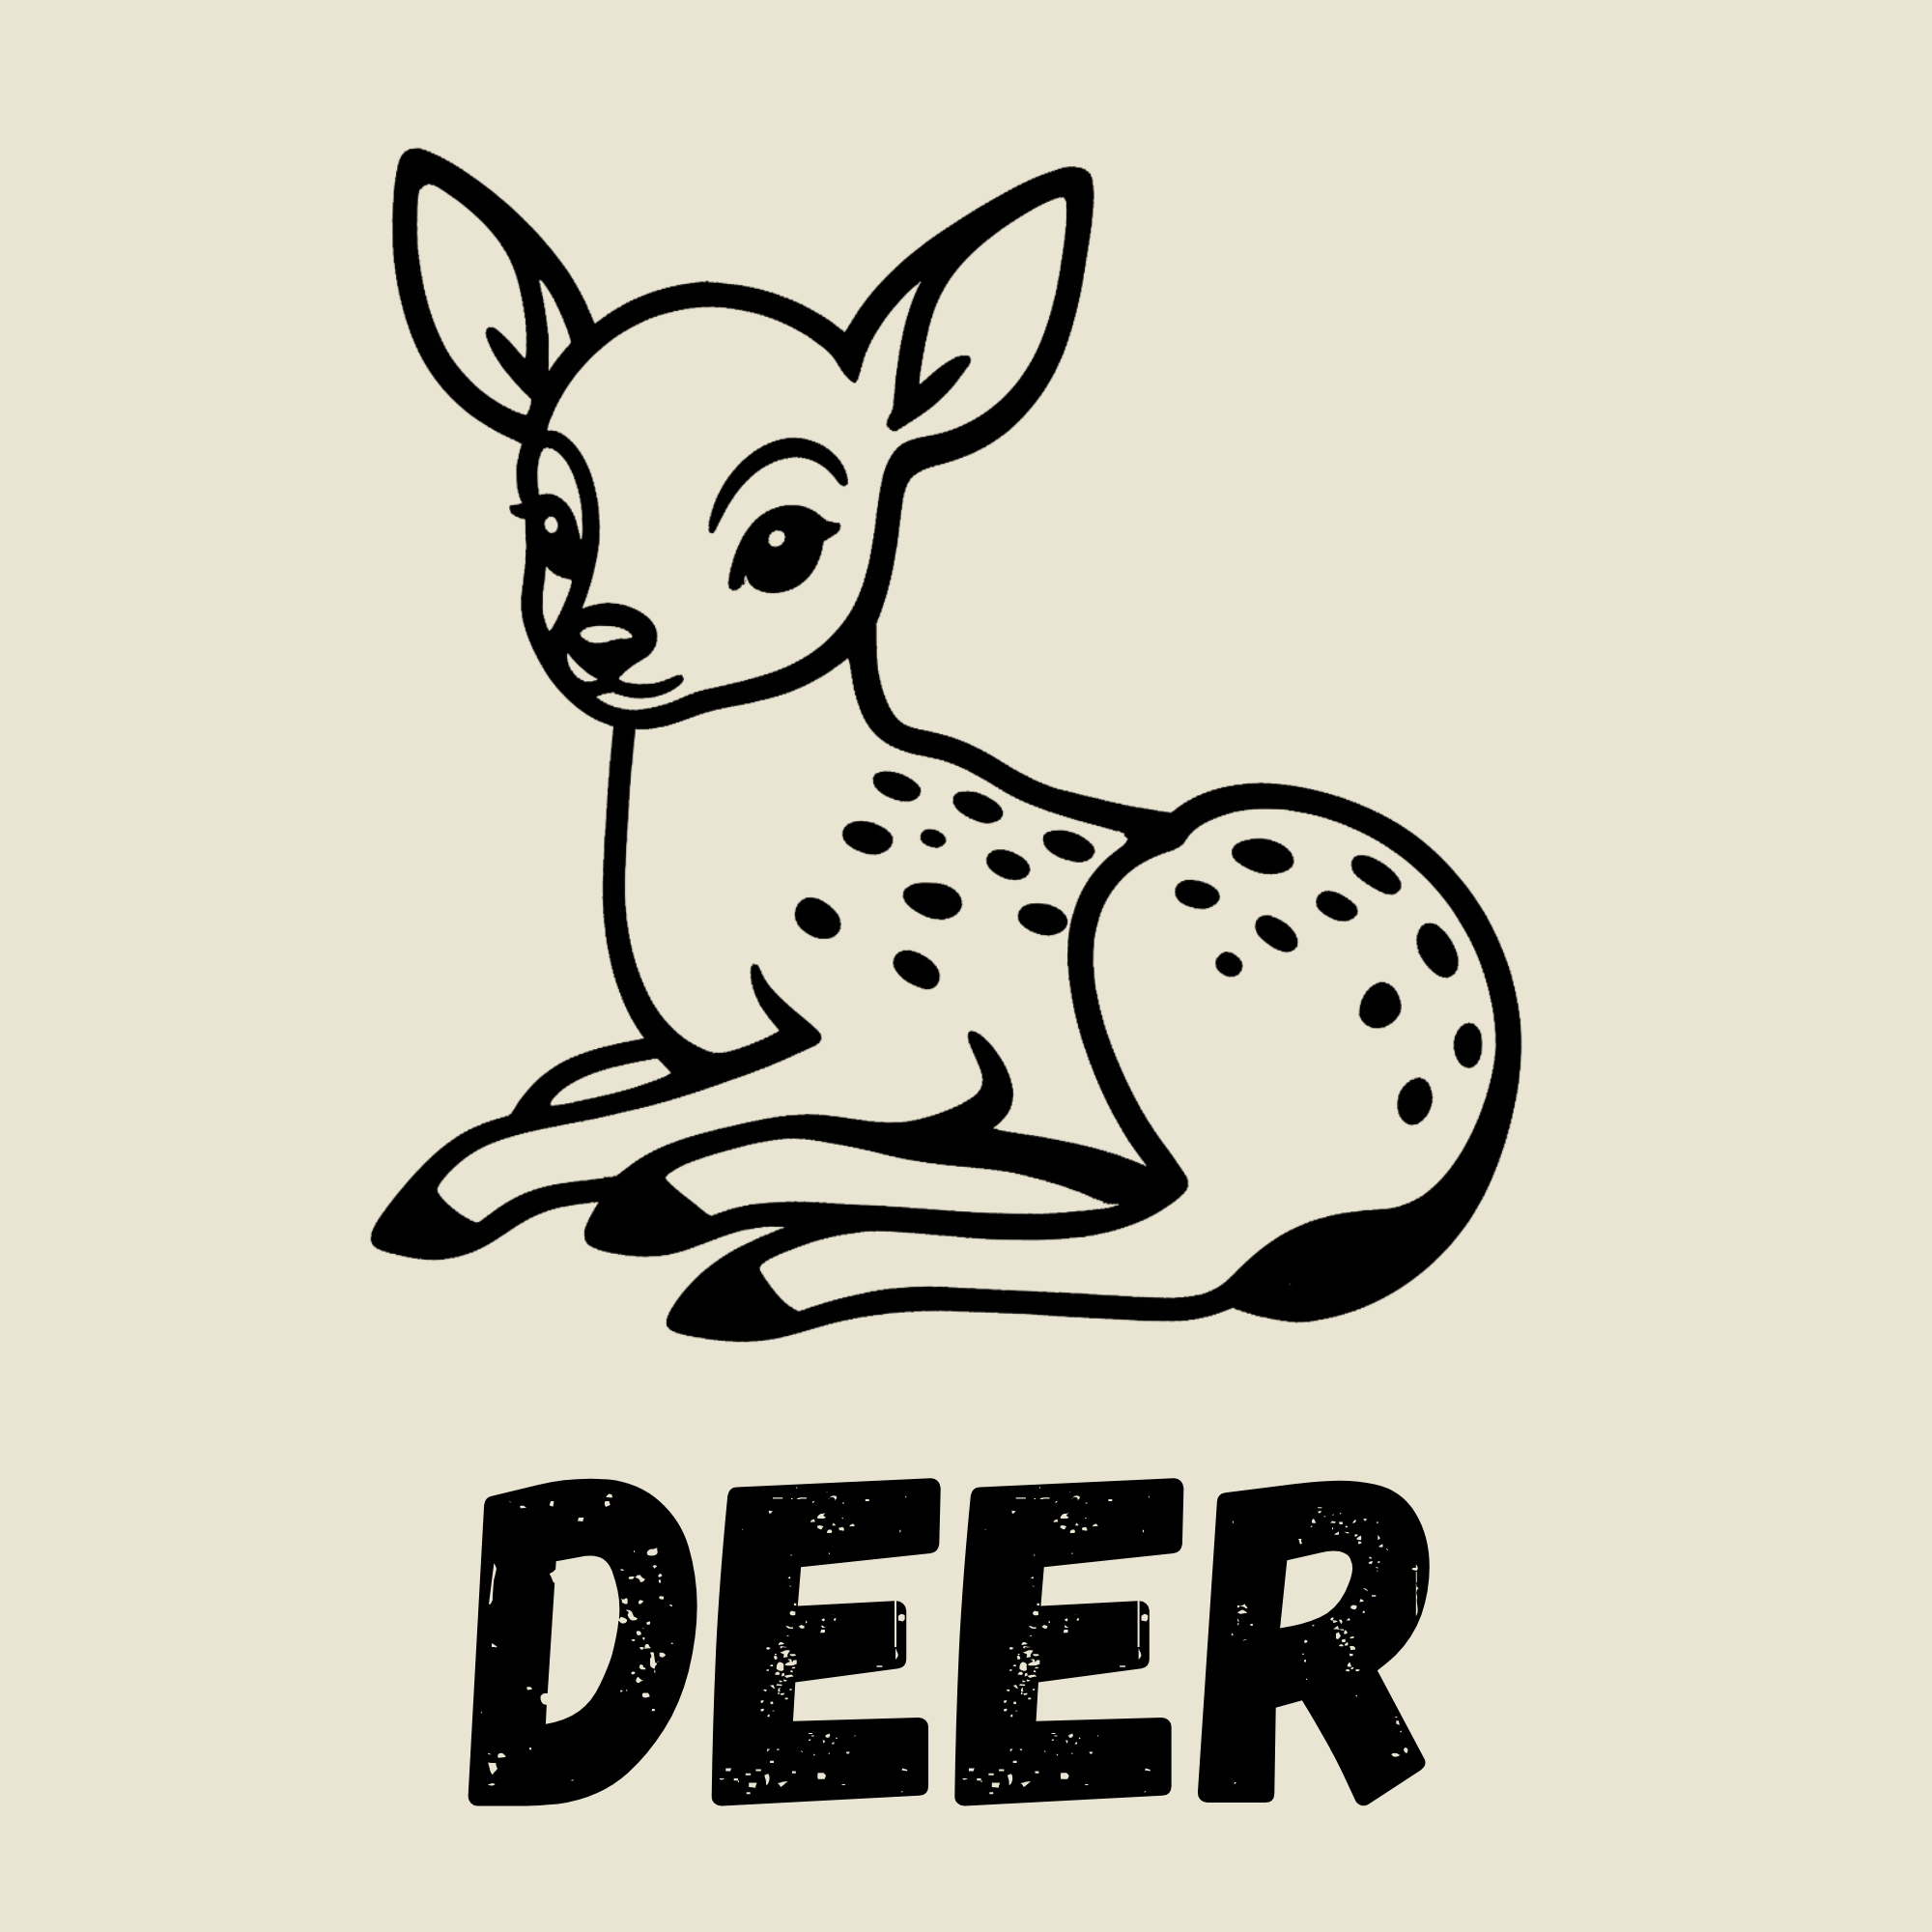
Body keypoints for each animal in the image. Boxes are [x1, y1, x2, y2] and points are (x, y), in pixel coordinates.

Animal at [373, 150, 1520, 1340]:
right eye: (548, 521)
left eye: (782, 539)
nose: (603, 640)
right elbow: (601, 1084)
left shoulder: (900, 1039)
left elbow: (700, 1101)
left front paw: (469, 1188)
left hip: (1170, 963)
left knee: (1192, 1245)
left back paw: (748, 1260)